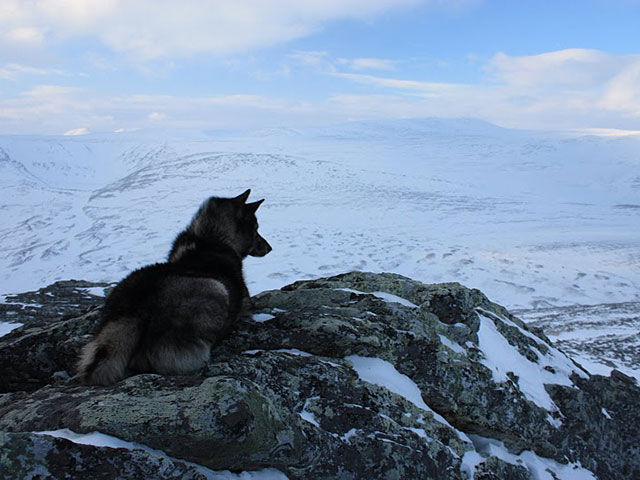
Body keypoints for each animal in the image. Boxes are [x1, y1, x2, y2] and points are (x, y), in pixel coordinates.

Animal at [76, 190, 272, 386]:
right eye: (256, 228)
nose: (269, 248)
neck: (211, 237)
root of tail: (135, 307)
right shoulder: (245, 304)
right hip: (216, 288)